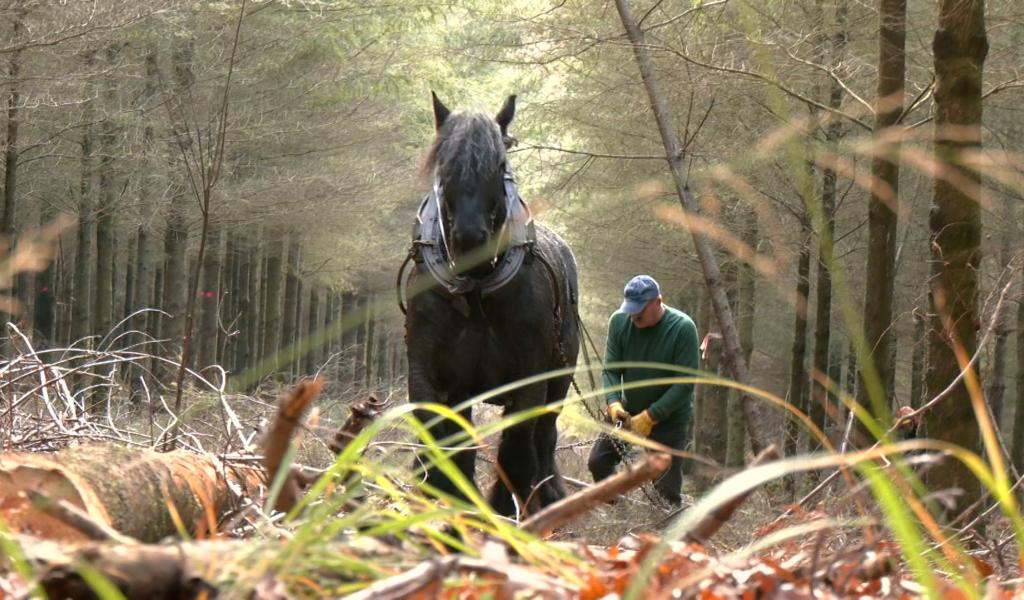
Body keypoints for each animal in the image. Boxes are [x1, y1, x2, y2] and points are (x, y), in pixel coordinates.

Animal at [397, 91, 577, 516]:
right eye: (444, 162)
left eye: (499, 165)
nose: (470, 239)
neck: (477, 294)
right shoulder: (428, 374)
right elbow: (441, 438)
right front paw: (447, 496)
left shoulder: (530, 379)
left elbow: (517, 445)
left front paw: (504, 509)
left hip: (559, 377)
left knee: (544, 434)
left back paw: (548, 494)